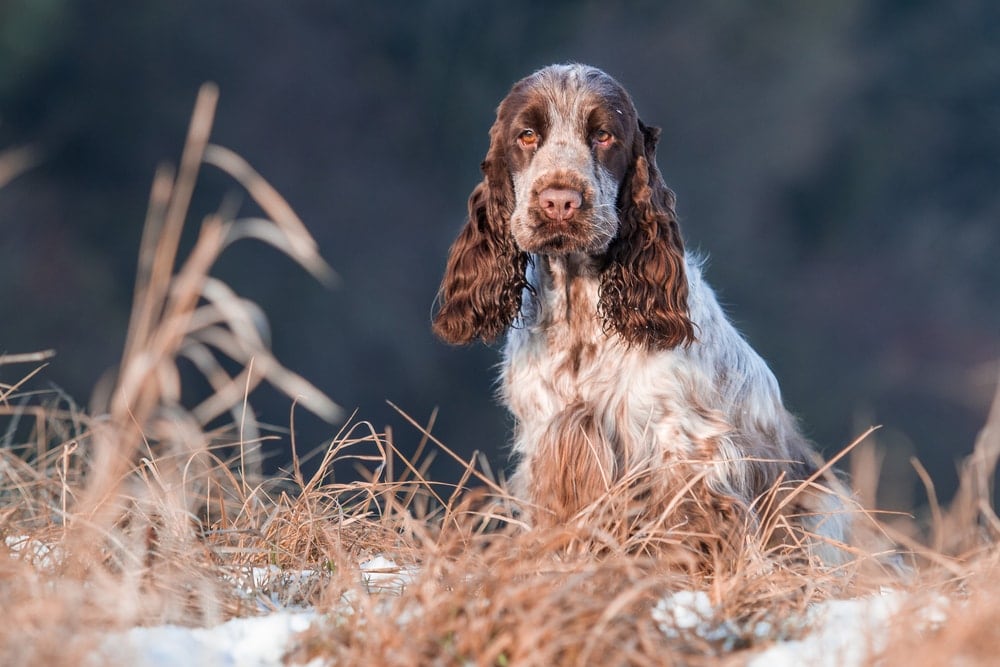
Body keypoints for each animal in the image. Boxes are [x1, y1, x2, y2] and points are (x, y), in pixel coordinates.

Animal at [434, 62, 848, 568]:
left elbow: (687, 527)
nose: (559, 201)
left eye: (604, 135)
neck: (580, 307)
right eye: (527, 134)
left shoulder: (683, 444)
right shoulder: (549, 439)